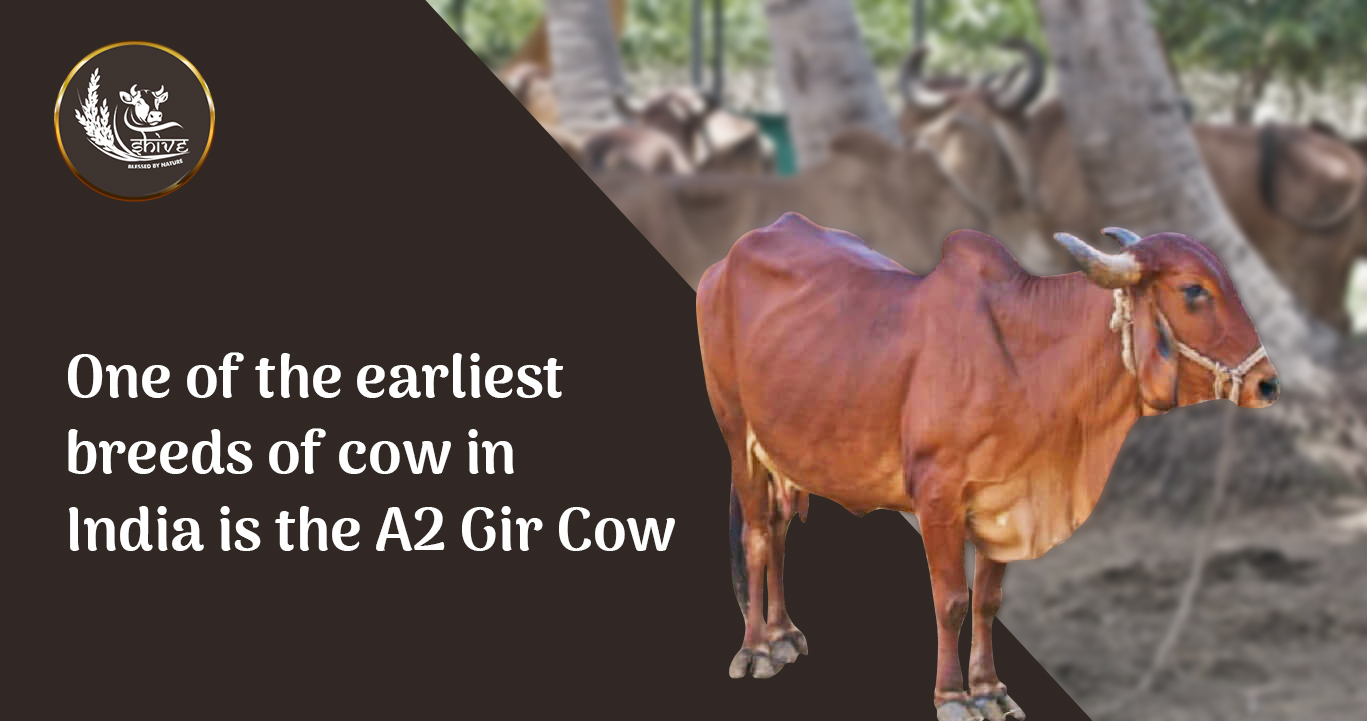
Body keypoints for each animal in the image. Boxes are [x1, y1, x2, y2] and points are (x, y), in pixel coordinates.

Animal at [696, 215, 1278, 721]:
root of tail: (722, 265)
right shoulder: (938, 498)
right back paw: (756, 650)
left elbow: (988, 603)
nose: (1267, 383)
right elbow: (952, 600)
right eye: (1194, 291)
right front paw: (953, 697)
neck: (1021, 357)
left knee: (778, 530)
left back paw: (784, 634)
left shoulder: (1005, 501)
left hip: (783, 453)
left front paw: (989, 690)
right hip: (736, 433)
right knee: (756, 536)